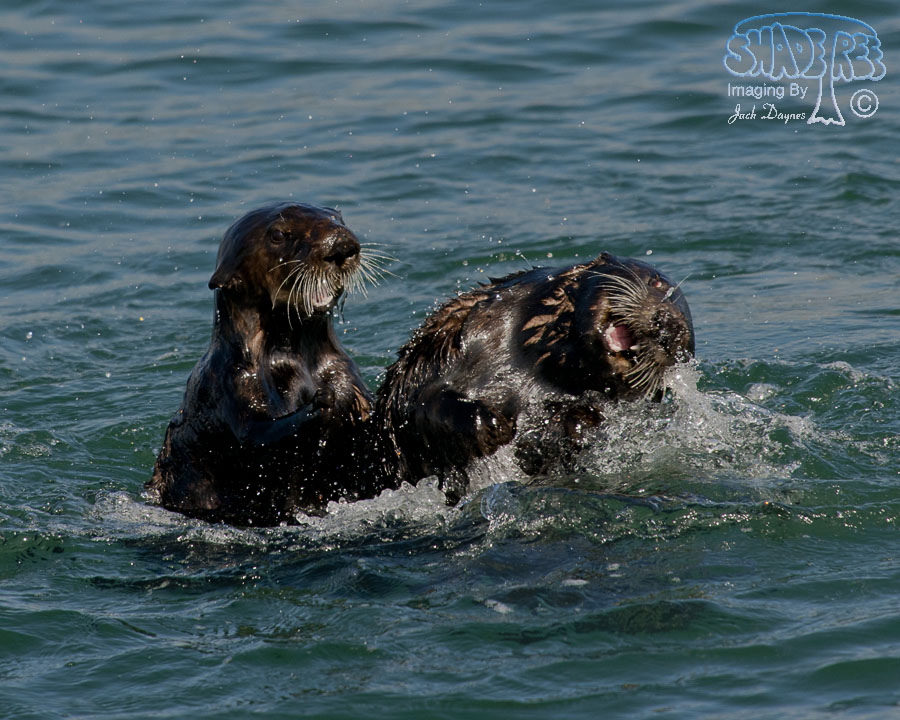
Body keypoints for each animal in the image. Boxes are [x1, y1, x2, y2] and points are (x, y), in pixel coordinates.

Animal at [147, 202, 390, 525]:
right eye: (278, 235)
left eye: (337, 217)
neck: (295, 358)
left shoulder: (342, 367)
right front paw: (325, 401)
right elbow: (256, 442)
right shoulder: (232, 383)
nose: (341, 245)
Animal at [375, 253, 695, 499]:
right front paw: (495, 426)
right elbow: (421, 404)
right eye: (656, 282)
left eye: (684, 347)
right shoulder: (441, 344)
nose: (671, 328)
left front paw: (570, 425)